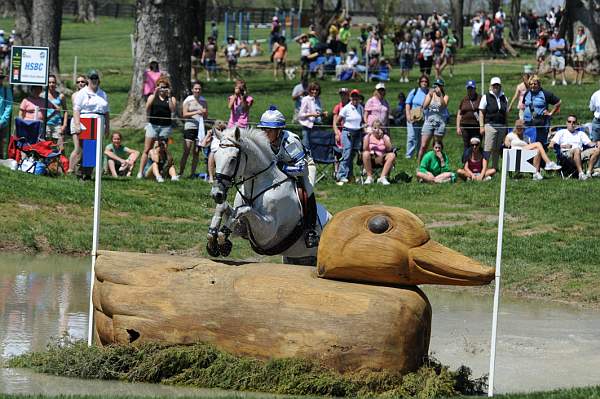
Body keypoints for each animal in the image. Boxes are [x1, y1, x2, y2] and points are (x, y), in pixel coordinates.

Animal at [206, 128, 328, 266]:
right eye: (215, 157)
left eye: (233, 159)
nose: (216, 194)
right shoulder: (243, 228)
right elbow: (223, 207)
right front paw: (213, 241)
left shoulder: (267, 234)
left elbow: (243, 209)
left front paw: (222, 242)